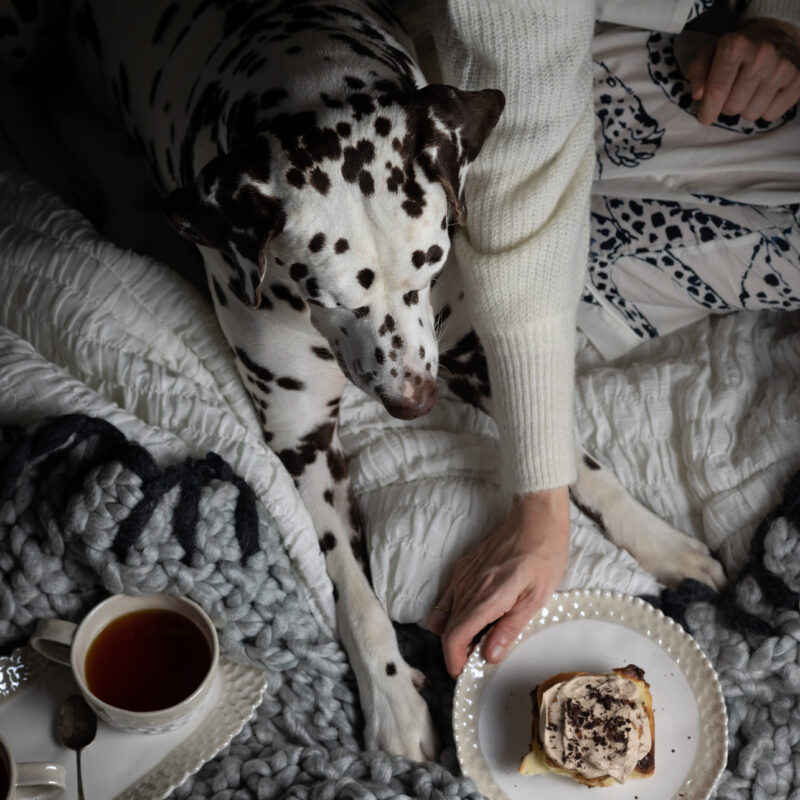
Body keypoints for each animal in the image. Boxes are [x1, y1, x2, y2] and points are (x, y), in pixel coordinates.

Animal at [1, 0, 724, 760]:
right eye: (330, 294)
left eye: (433, 263)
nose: (414, 404)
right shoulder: (304, 442)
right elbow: (352, 589)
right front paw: (393, 696)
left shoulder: (468, 357)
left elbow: (573, 460)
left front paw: (660, 540)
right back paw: (56, 165)